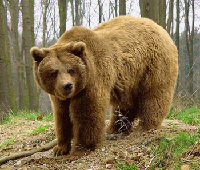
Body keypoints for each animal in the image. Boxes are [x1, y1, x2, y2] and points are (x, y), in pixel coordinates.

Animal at [29, 15, 178, 157]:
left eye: (71, 70)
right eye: (53, 72)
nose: (67, 85)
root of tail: (160, 28)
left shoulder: (92, 80)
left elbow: (88, 113)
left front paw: (81, 148)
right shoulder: (59, 95)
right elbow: (62, 116)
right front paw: (60, 148)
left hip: (153, 64)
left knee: (154, 95)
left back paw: (147, 126)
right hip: (129, 78)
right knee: (125, 104)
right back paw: (116, 128)